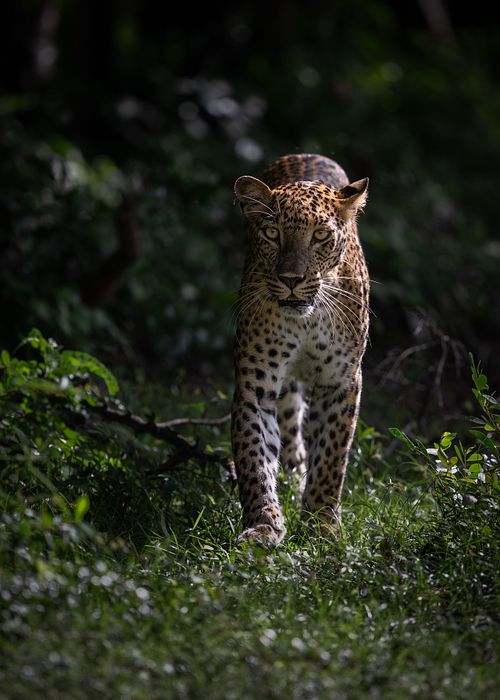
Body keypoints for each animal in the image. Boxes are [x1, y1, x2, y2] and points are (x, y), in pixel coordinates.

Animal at [231, 153, 370, 546]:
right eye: (272, 233)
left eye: (320, 236)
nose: (291, 280)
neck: (306, 321)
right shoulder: (256, 382)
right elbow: (254, 453)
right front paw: (264, 523)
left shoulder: (341, 382)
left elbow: (332, 455)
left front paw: (321, 522)